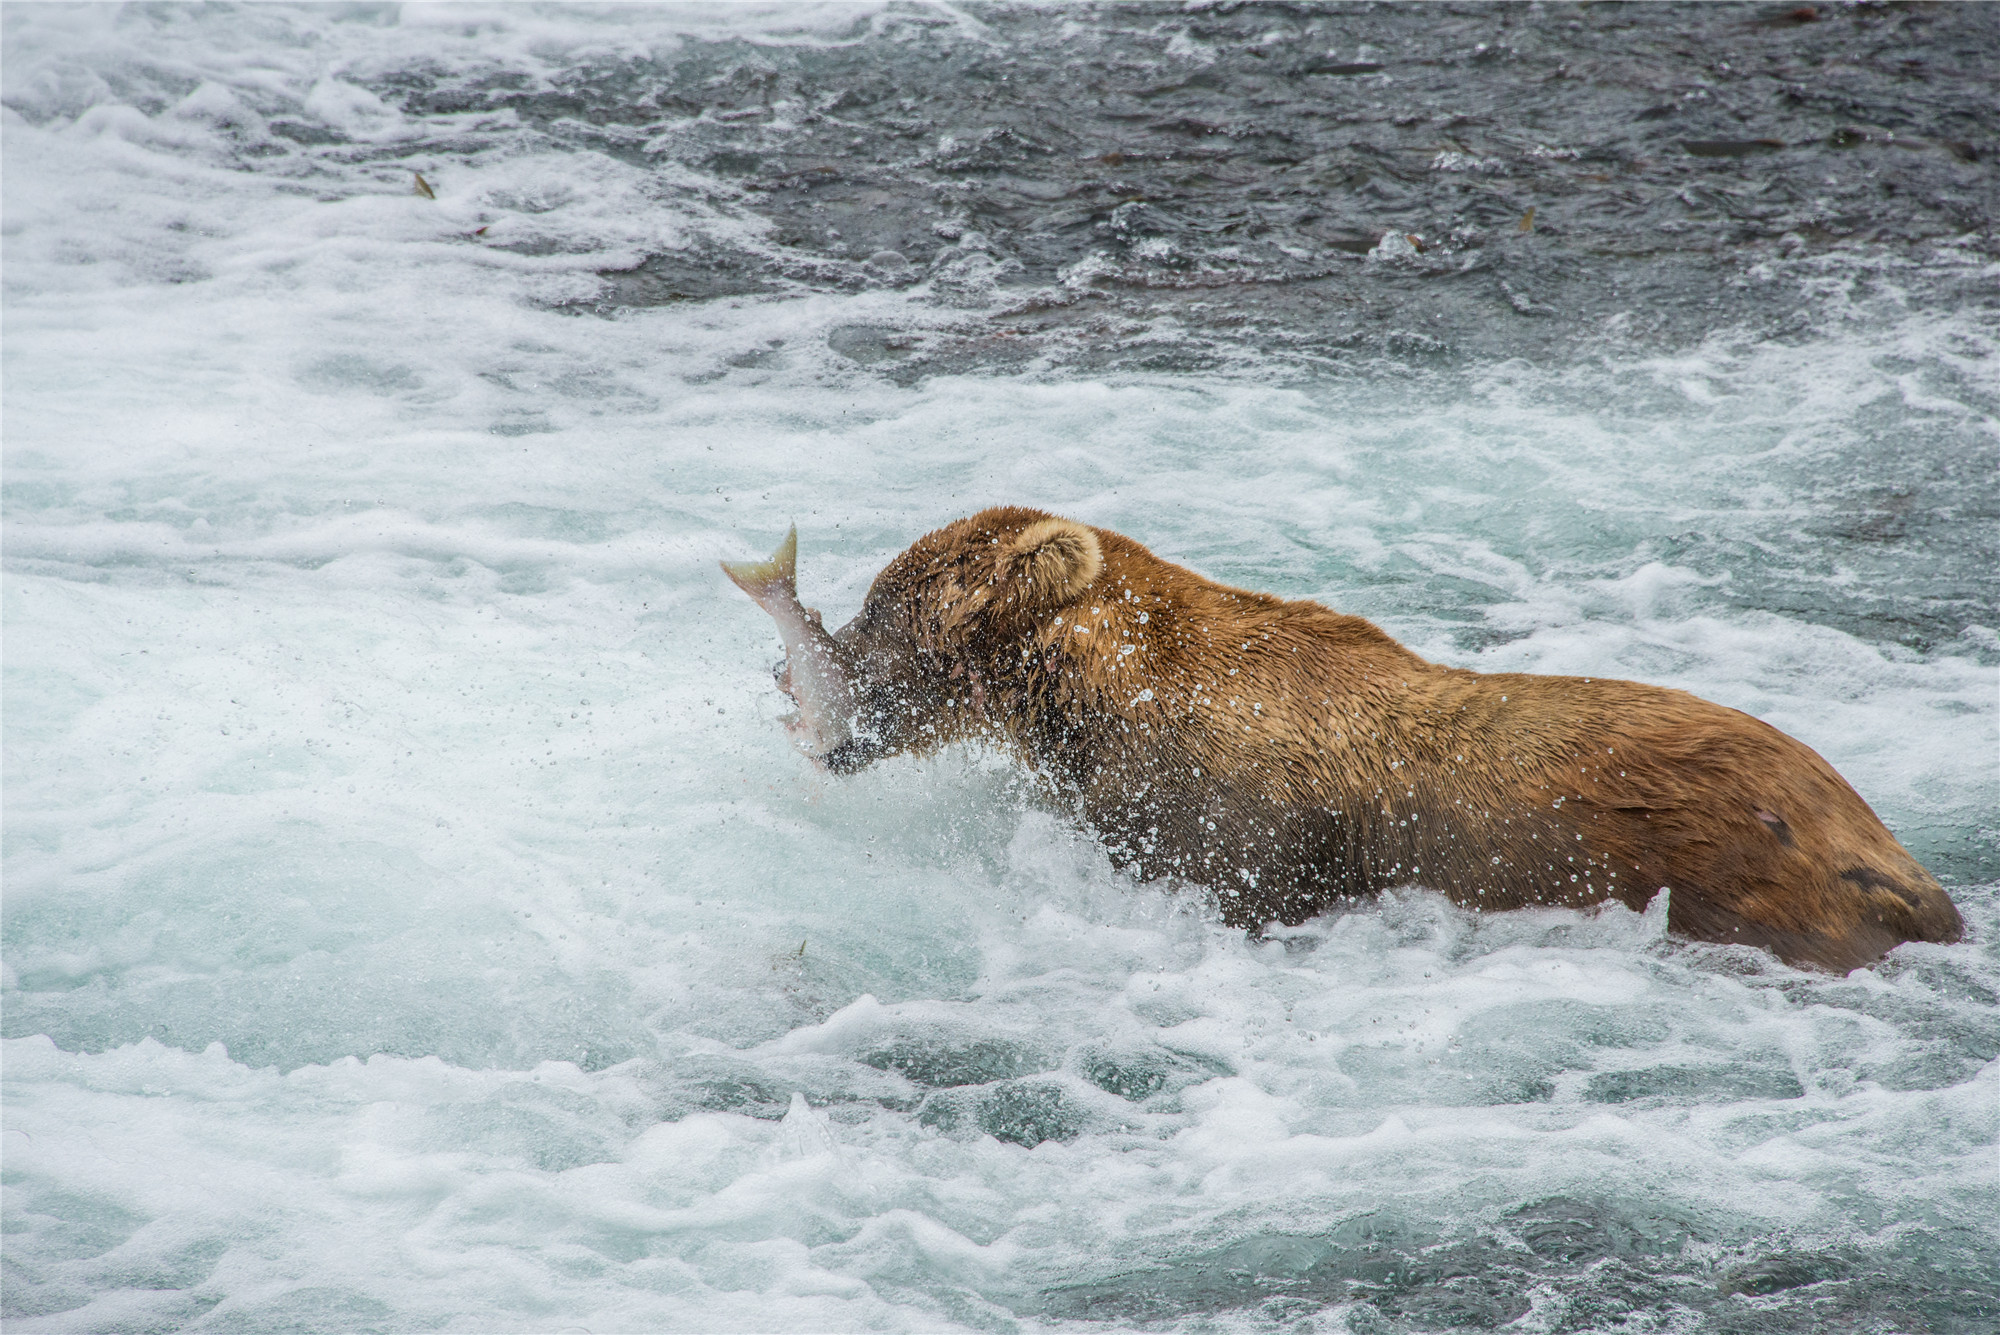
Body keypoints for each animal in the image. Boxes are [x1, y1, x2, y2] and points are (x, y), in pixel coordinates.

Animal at [756, 505, 1960, 975]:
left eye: (884, 601)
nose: (796, 668)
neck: (1099, 703)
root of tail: (1891, 854)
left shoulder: (1233, 825)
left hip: (1735, 864)